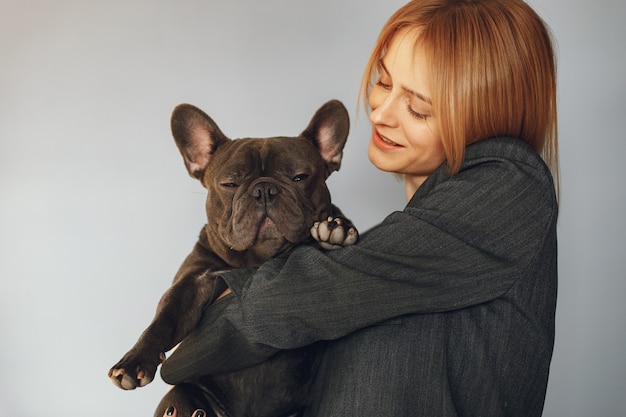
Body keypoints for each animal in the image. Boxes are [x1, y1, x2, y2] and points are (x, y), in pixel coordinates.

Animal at [108, 100, 356, 416]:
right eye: (229, 184)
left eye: (299, 177)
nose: (264, 189)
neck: (257, 257)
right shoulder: (193, 283)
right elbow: (165, 316)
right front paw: (133, 360)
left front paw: (336, 228)